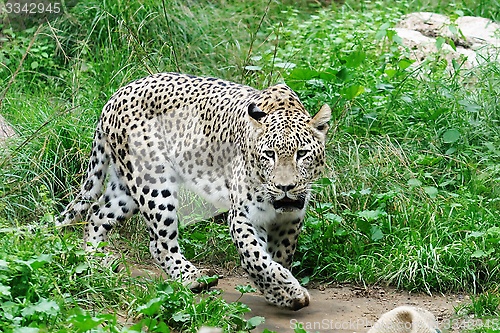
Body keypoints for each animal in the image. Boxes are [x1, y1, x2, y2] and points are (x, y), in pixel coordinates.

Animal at [57, 71, 332, 310]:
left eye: (302, 154)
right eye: (269, 154)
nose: (285, 187)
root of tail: (115, 96)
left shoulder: (291, 219)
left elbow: (279, 255)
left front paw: (278, 293)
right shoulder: (244, 215)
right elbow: (256, 257)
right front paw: (289, 291)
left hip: (125, 188)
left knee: (97, 214)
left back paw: (95, 261)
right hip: (154, 183)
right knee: (158, 243)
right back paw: (192, 278)